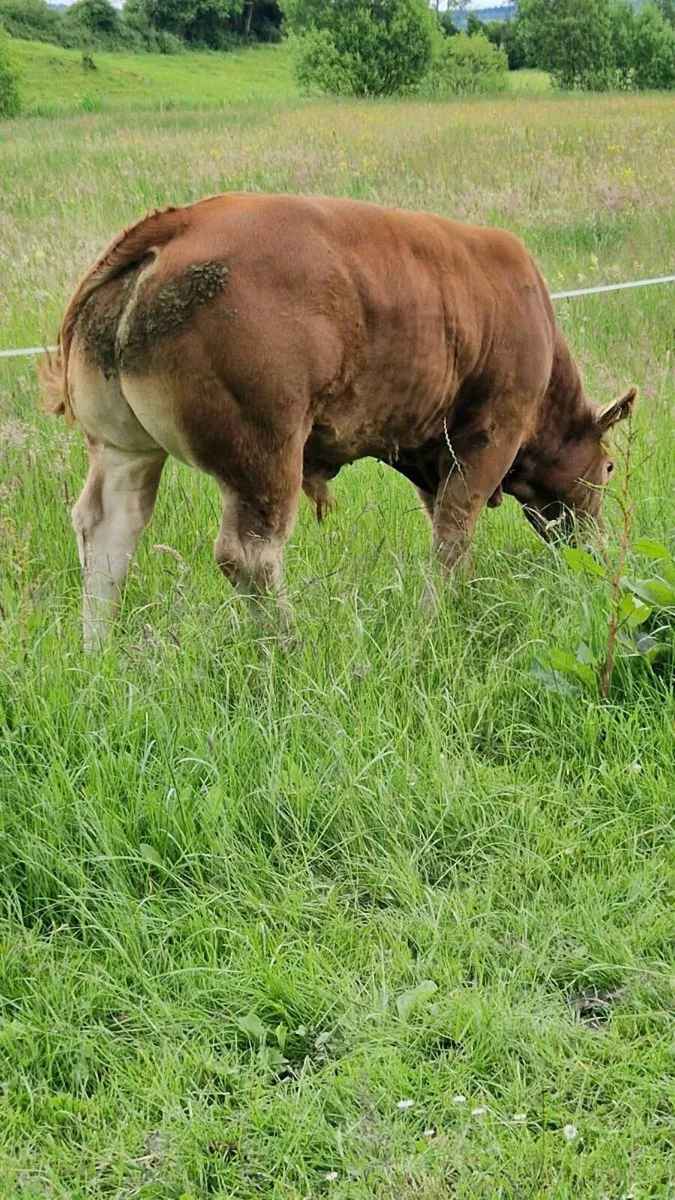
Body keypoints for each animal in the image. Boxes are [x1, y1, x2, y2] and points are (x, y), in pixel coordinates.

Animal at [39, 192, 636, 649]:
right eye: (608, 469)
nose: (597, 549)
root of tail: (178, 225)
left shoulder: (433, 454)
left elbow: (442, 525)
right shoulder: (491, 434)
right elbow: (453, 533)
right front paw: (434, 619)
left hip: (124, 449)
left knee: (108, 531)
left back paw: (98, 652)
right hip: (265, 453)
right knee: (249, 556)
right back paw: (288, 648)